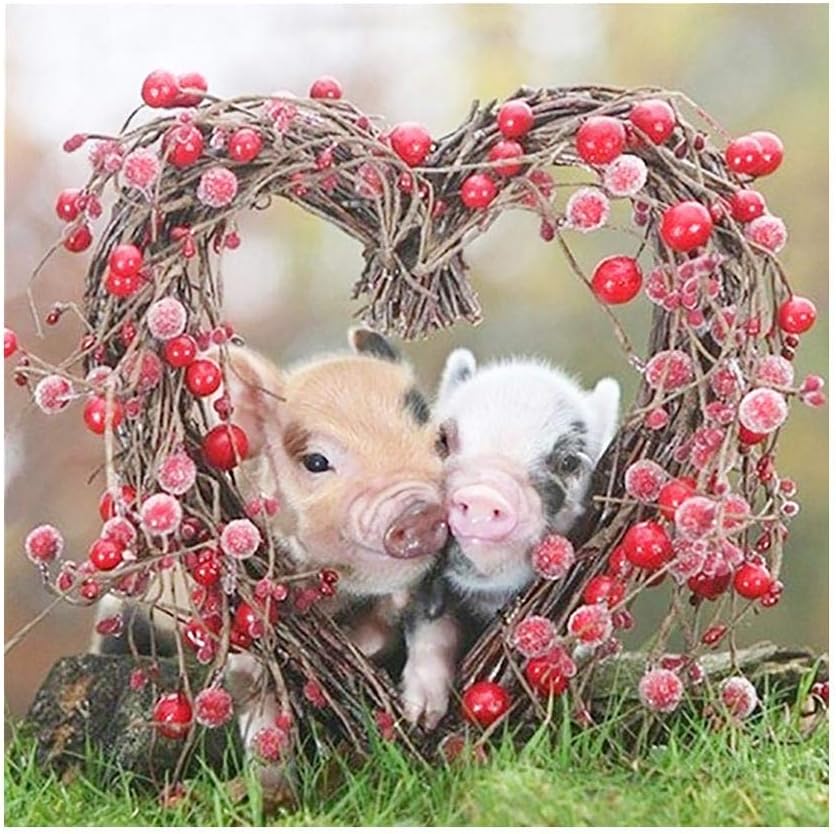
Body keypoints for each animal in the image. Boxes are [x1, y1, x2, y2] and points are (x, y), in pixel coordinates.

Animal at [93, 328, 449, 793]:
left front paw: (421, 716)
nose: (418, 511)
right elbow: (260, 710)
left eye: (439, 441)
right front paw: (271, 796)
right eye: (316, 461)